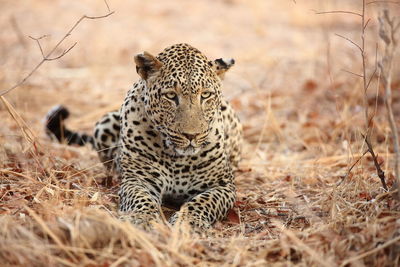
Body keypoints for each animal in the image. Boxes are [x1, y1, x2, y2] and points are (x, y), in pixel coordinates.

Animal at [45, 43, 242, 230]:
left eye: (206, 94)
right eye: (171, 95)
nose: (191, 135)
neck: (177, 158)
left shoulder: (222, 185)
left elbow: (203, 202)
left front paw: (189, 222)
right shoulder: (138, 179)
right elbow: (140, 198)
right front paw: (141, 218)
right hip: (104, 122)